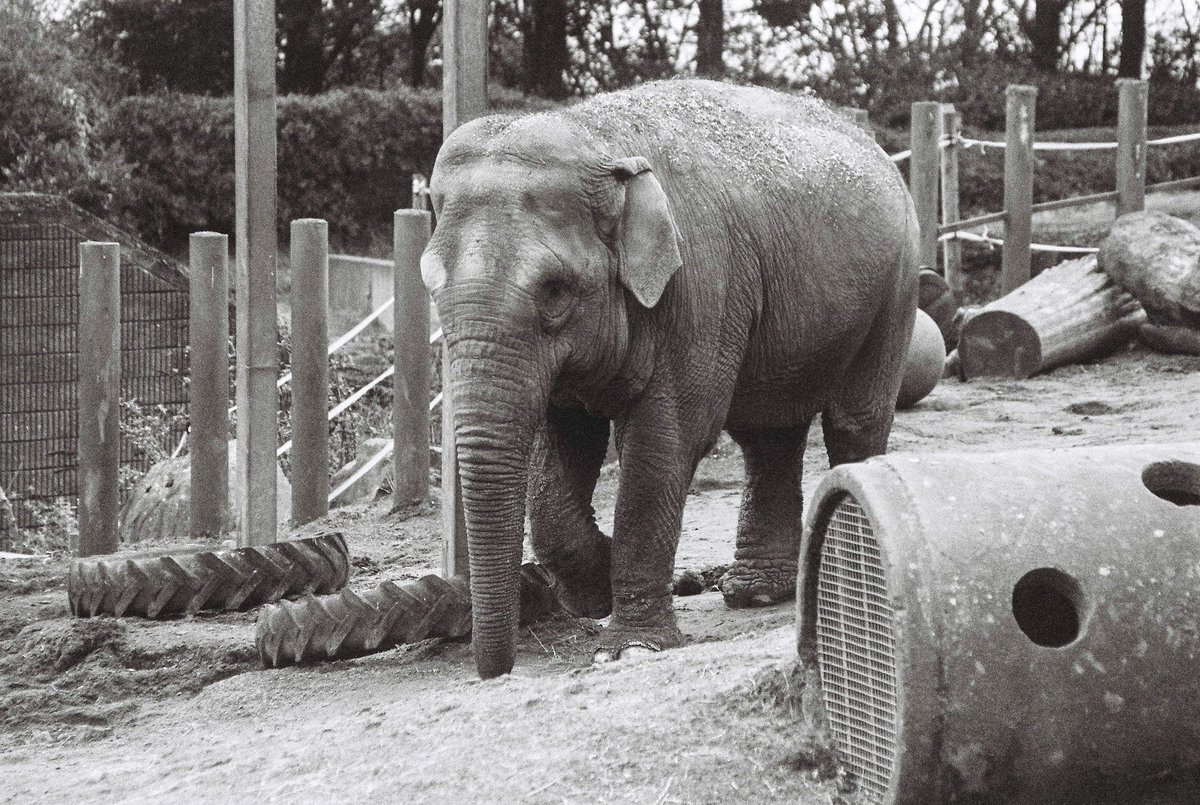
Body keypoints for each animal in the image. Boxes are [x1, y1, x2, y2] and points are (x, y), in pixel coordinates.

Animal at [421, 79, 919, 679]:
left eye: (555, 290)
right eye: (430, 288)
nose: (498, 671)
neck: (596, 136)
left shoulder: (702, 282)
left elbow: (667, 440)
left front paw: (630, 646)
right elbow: (563, 448)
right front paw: (597, 590)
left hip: (896, 284)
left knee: (853, 421)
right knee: (768, 433)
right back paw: (753, 592)